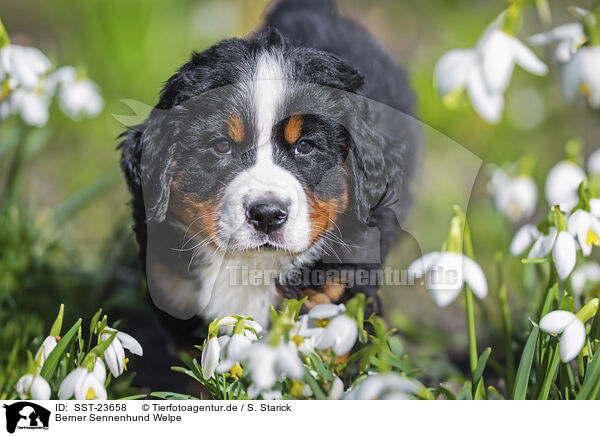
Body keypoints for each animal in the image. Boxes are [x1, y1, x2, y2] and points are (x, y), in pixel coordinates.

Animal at [118, 0, 418, 338]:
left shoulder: (339, 290)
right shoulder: (172, 291)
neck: (251, 265)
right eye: (222, 146)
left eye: (305, 146)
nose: (267, 215)